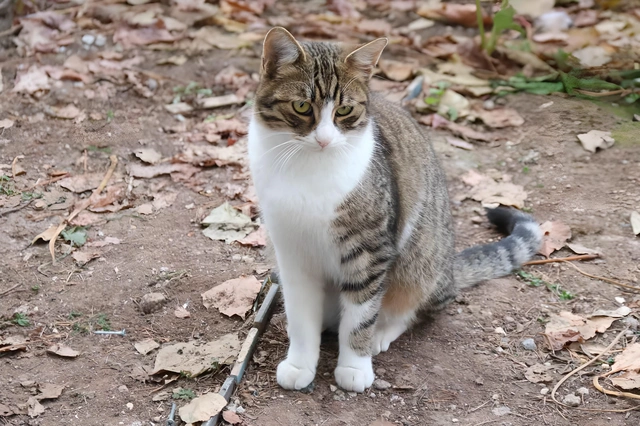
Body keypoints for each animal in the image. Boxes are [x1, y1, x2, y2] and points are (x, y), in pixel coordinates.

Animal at [248, 26, 544, 392]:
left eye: (344, 111)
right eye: (302, 106)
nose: (324, 140)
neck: (306, 167)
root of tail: (449, 269)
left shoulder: (370, 250)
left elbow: (360, 316)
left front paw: (355, 366)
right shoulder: (292, 253)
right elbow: (301, 317)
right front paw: (300, 363)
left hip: (420, 263)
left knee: (413, 307)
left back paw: (381, 332)